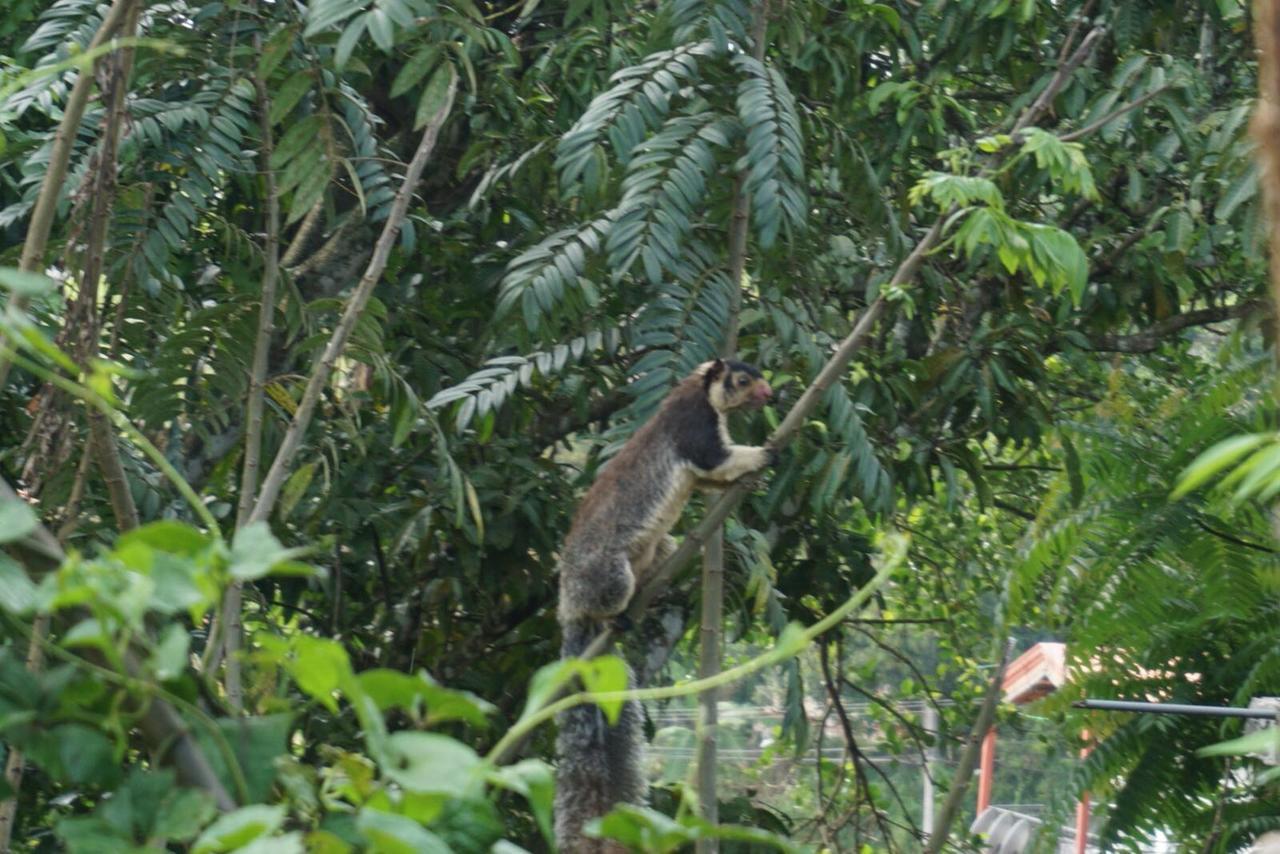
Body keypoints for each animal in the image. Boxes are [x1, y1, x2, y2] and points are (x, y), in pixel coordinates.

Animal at [555, 358, 773, 854]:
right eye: (742, 379)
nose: (771, 394)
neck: (700, 393)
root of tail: (569, 609)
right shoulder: (693, 429)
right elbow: (717, 460)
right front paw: (763, 454)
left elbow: (711, 478)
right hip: (610, 575)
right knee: (606, 601)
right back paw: (616, 617)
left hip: (659, 548)